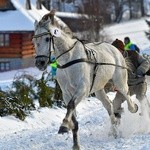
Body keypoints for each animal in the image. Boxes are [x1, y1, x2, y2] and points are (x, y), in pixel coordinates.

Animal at [32, 11, 138, 150]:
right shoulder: (67, 93)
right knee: (108, 105)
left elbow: (71, 106)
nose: (40, 62)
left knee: (127, 96)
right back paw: (114, 128)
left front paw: (64, 125)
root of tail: (114, 49)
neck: (68, 60)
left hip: (120, 81)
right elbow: (73, 116)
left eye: (47, 39)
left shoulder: (83, 89)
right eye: (34, 41)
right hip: (98, 89)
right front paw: (75, 143)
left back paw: (133, 108)